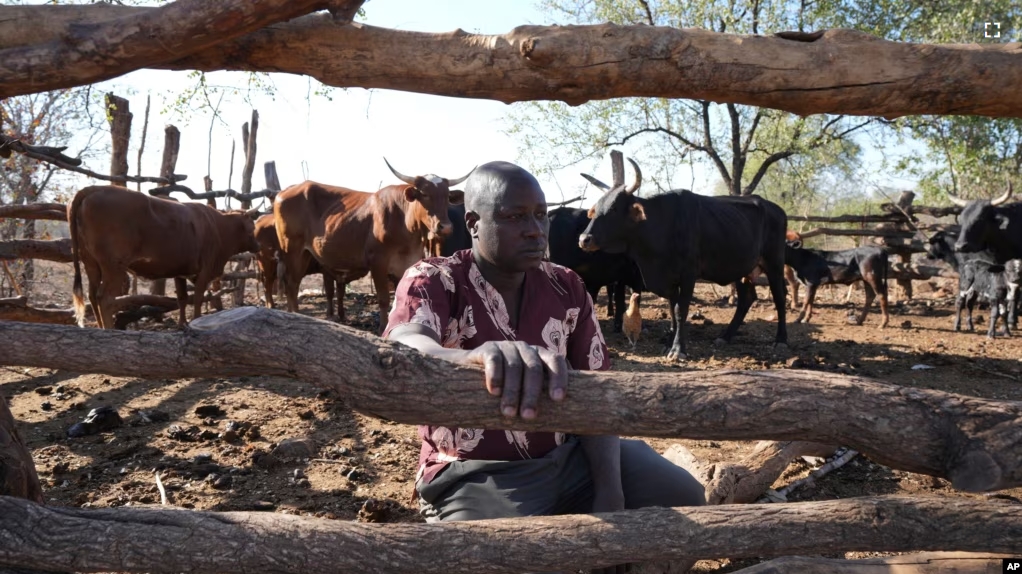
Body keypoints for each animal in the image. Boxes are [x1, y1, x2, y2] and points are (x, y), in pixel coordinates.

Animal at [68, 185, 259, 328]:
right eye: (252, 224)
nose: (258, 245)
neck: (218, 227)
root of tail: (95, 188)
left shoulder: (180, 271)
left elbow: (182, 298)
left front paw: (182, 325)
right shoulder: (204, 270)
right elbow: (198, 298)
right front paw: (195, 321)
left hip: (91, 263)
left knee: (92, 295)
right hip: (113, 266)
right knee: (105, 298)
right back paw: (109, 329)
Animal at [273, 158, 468, 332]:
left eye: (447, 196)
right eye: (425, 194)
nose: (445, 227)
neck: (405, 223)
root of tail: (285, 192)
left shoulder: (405, 264)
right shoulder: (378, 262)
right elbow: (383, 298)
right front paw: (382, 327)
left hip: (305, 253)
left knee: (294, 284)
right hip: (292, 249)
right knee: (291, 285)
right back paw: (295, 315)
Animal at [580, 158, 784, 359]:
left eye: (614, 209)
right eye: (596, 208)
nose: (584, 239)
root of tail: (775, 208)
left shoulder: (688, 275)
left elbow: (681, 310)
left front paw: (678, 349)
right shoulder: (669, 279)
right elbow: (672, 309)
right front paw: (668, 344)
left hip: (774, 263)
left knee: (779, 298)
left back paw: (780, 341)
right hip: (741, 269)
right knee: (746, 299)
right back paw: (725, 337)